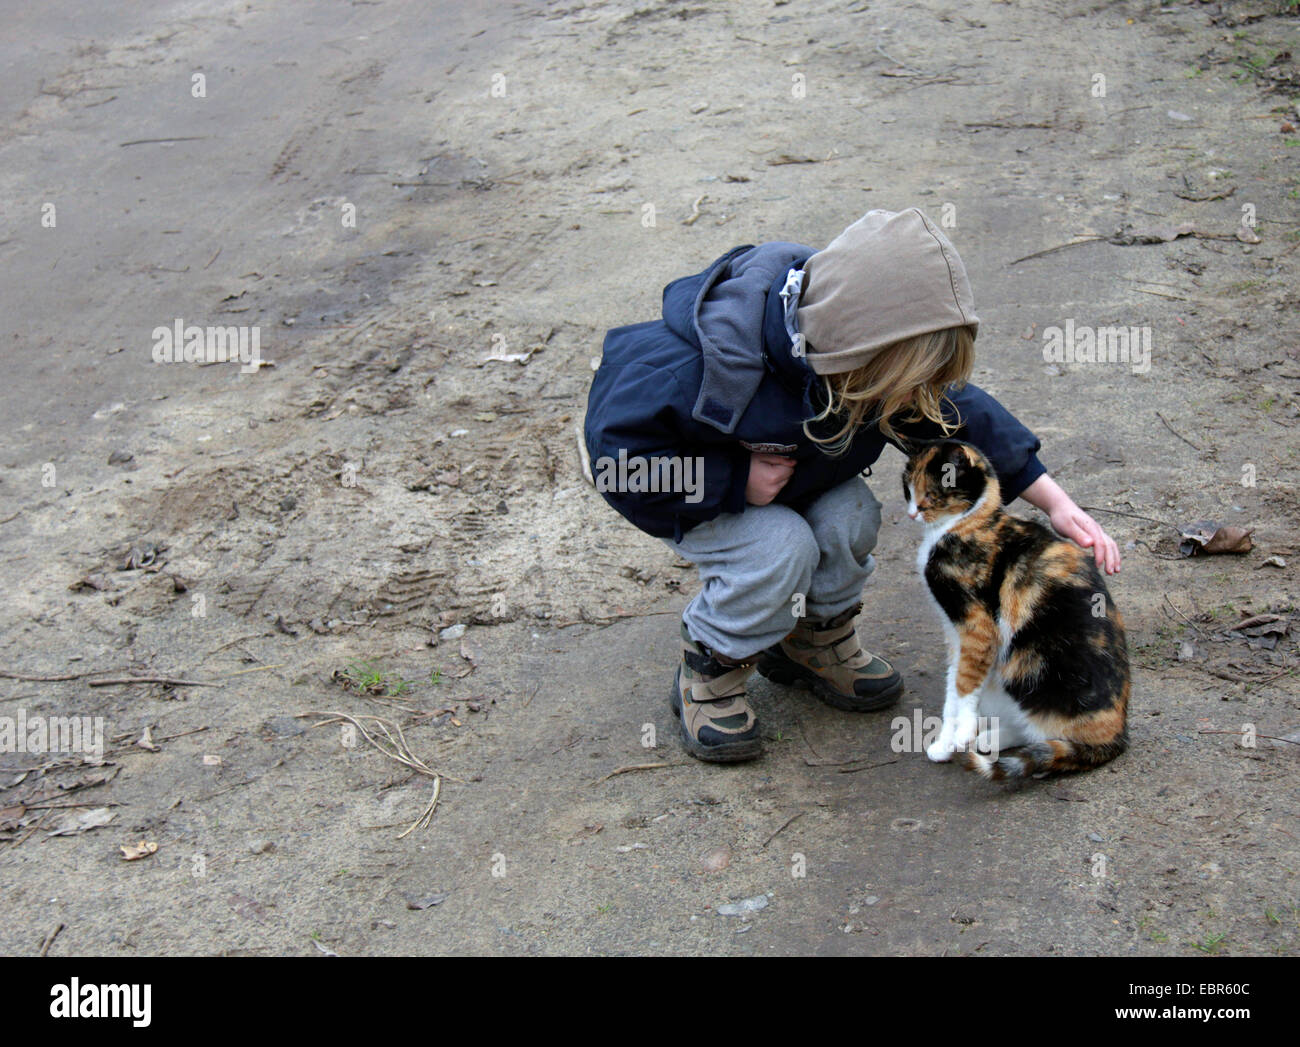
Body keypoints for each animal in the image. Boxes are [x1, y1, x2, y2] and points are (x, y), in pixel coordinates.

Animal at [904, 439, 1128, 775]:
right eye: (907, 488)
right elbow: (952, 687)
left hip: (1024, 667)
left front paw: (960, 735)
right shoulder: (955, 634)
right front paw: (944, 744)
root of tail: (1118, 737)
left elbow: (964, 683)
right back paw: (991, 740)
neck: (970, 522)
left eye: (931, 494)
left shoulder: (978, 627)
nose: (912, 513)